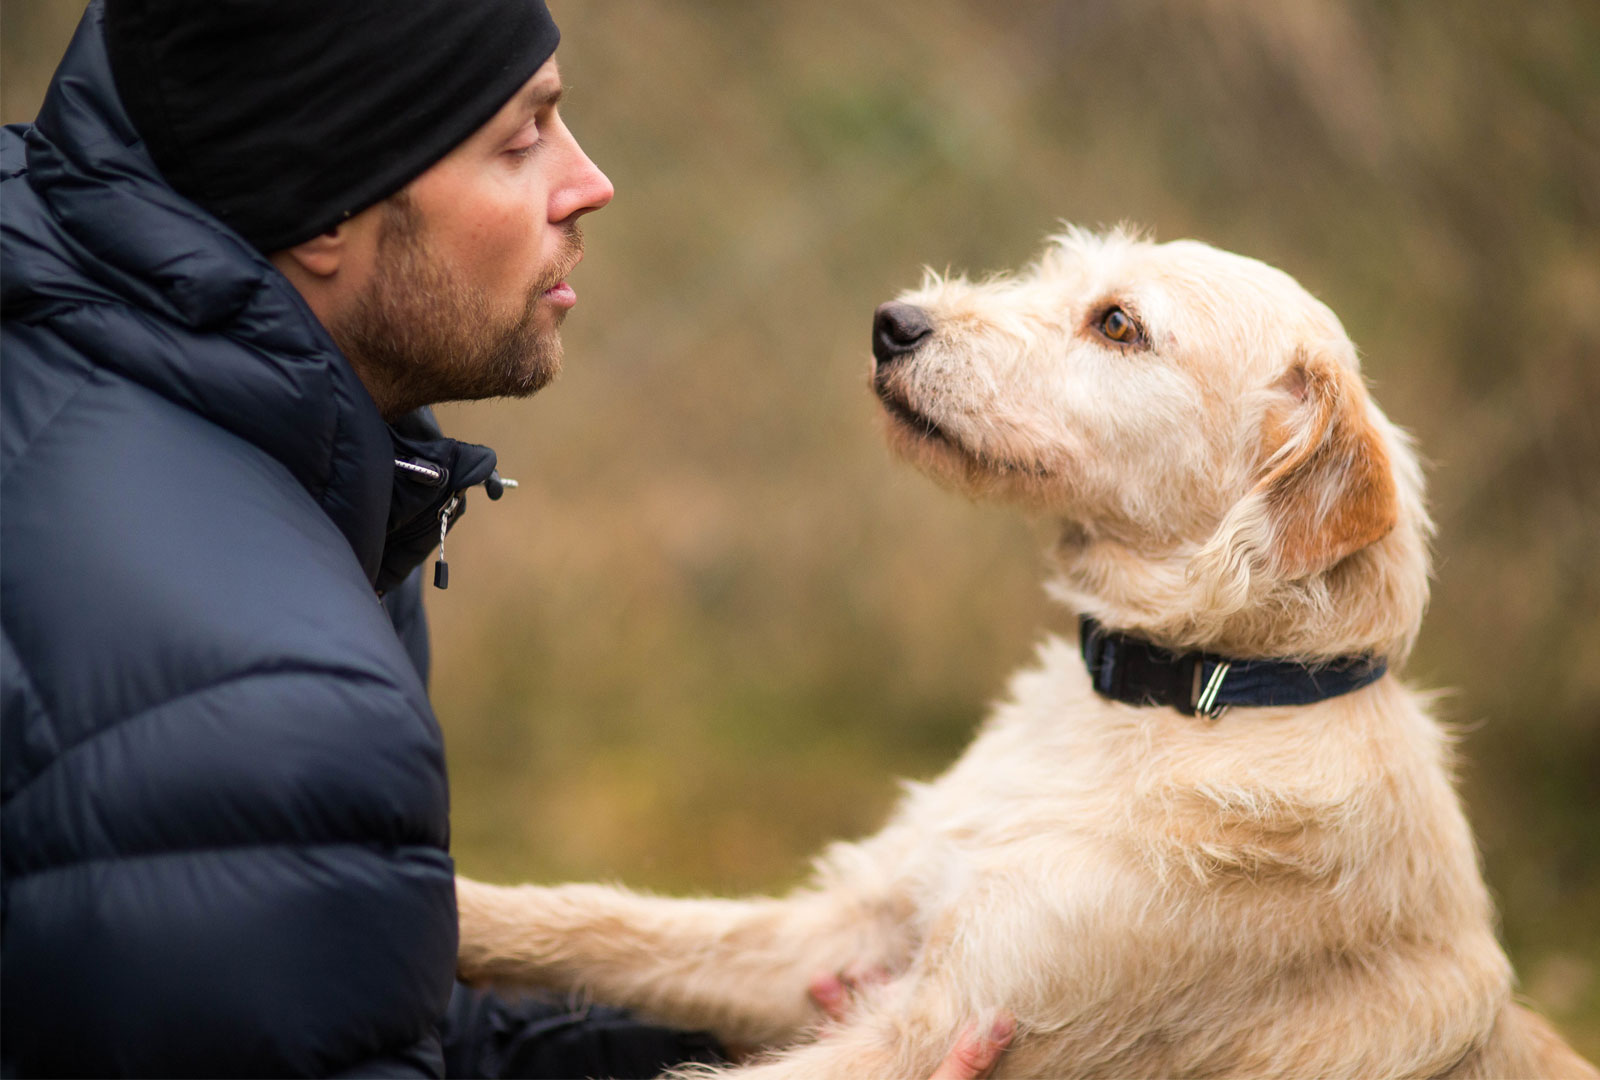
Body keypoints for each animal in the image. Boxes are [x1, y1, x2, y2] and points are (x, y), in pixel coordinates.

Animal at [454, 232, 1600, 1075]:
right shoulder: (847, 934)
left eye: (1118, 323)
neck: (1162, 699)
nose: (892, 323)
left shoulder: (949, 1023)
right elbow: (605, 923)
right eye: (1062, 278)